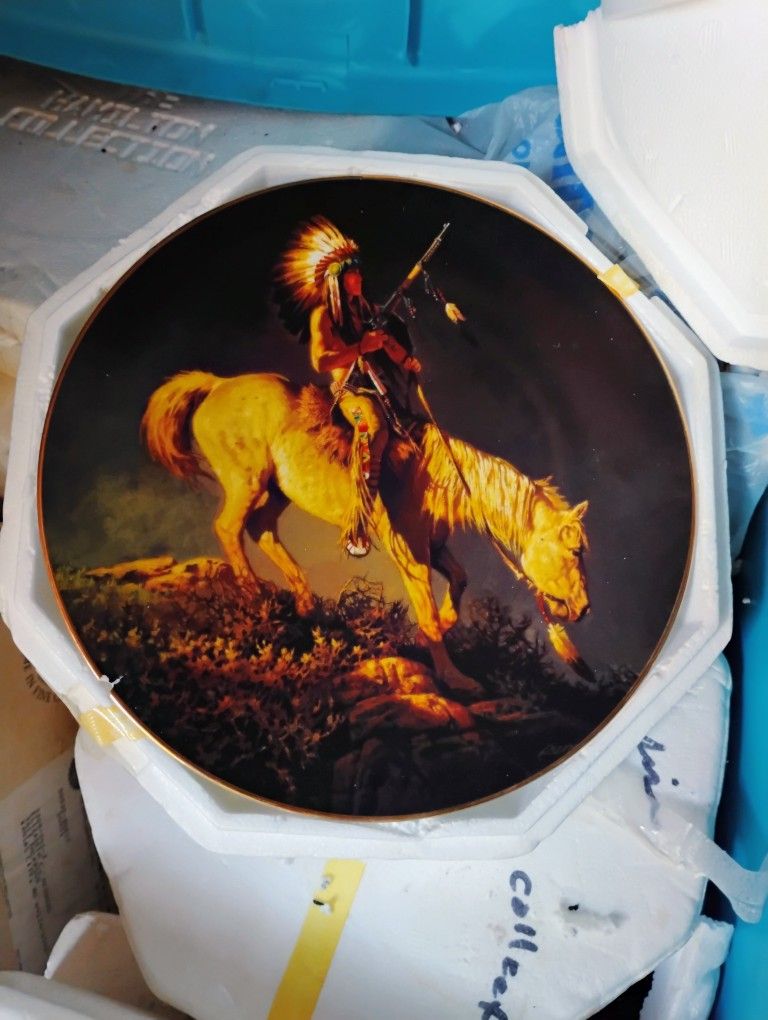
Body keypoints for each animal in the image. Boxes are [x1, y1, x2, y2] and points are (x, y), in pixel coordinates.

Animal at [141, 371, 591, 693]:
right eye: (574, 551)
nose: (583, 608)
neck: (435, 475)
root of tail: (217, 385)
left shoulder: (433, 546)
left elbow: (460, 580)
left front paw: (447, 623)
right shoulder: (411, 555)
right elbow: (426, 615)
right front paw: (456, 679)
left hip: (276, 490)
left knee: (261, 528)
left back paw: (304, 603)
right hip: (246, 481)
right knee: (229, 528)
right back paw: (255, 595)